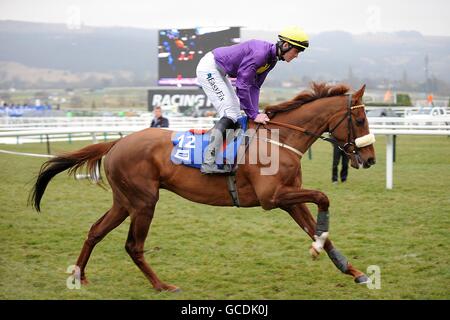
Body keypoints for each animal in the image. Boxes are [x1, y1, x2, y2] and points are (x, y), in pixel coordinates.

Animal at [29, 83, 376, 292]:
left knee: (95, 231)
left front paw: (351, 269)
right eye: (360, 121)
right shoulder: (273, 198)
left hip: (124, 201)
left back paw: (79, 275)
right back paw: (162, 285)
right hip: (144, 202)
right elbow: (324, 197)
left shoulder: (289, 199)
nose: (371, 158)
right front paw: (322, 250)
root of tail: (117, 142)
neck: (279, 140)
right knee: (133, 245)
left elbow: (317, 229)